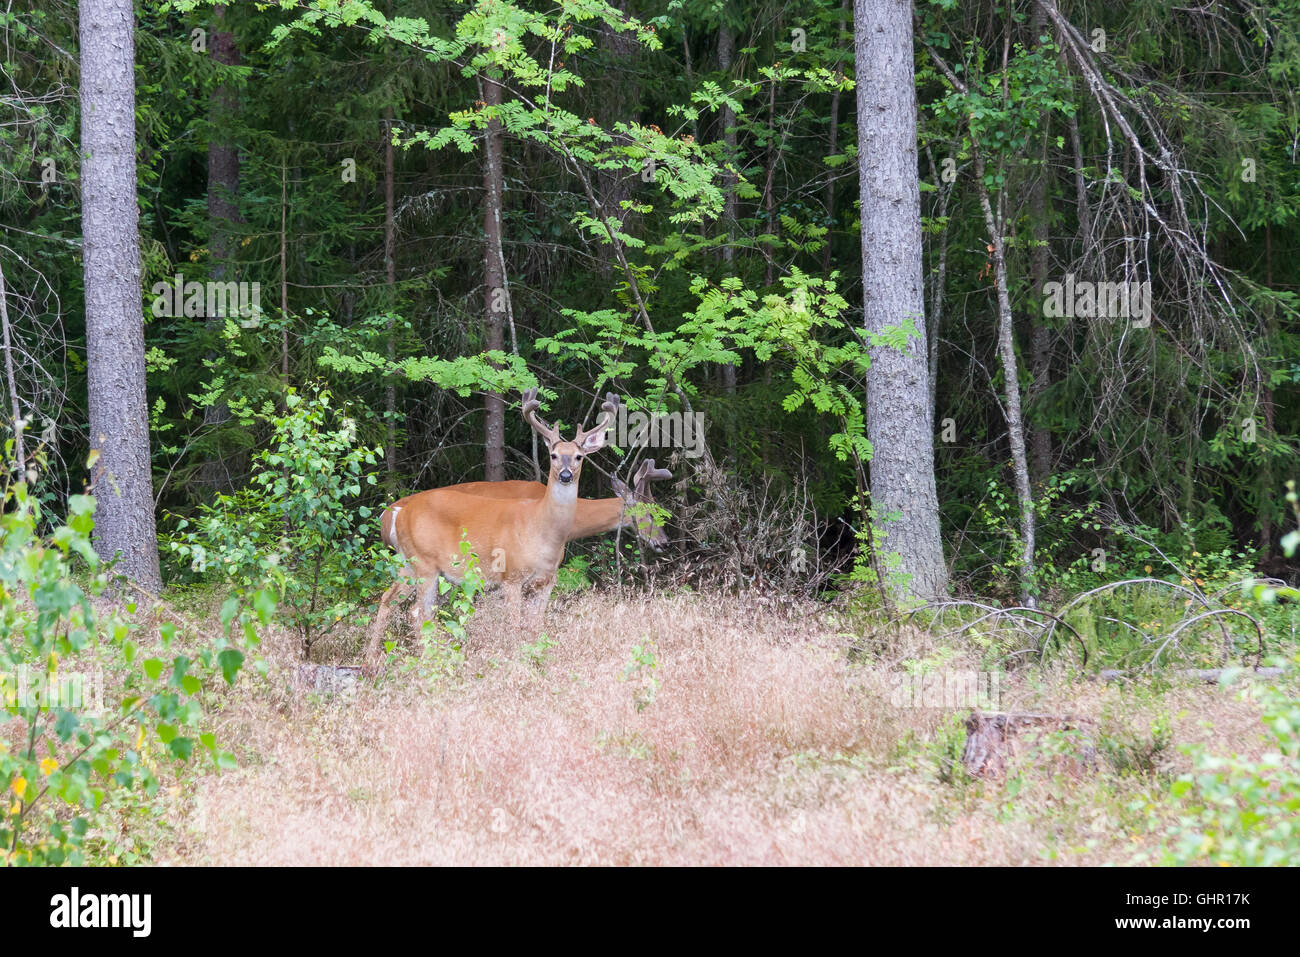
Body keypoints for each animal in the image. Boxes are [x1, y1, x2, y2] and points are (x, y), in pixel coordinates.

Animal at [369, 390, 660, 665]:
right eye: (553, 455)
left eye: (579, 456)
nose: (663, 540)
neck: (545, 531)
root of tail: (393, 513)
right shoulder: (510, 577)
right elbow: (514, 626)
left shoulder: (546, 581)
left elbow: (535, 627)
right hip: (424, 564)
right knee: (418, 613)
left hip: (408, 565)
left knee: (389, 600)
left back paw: (371, 661)